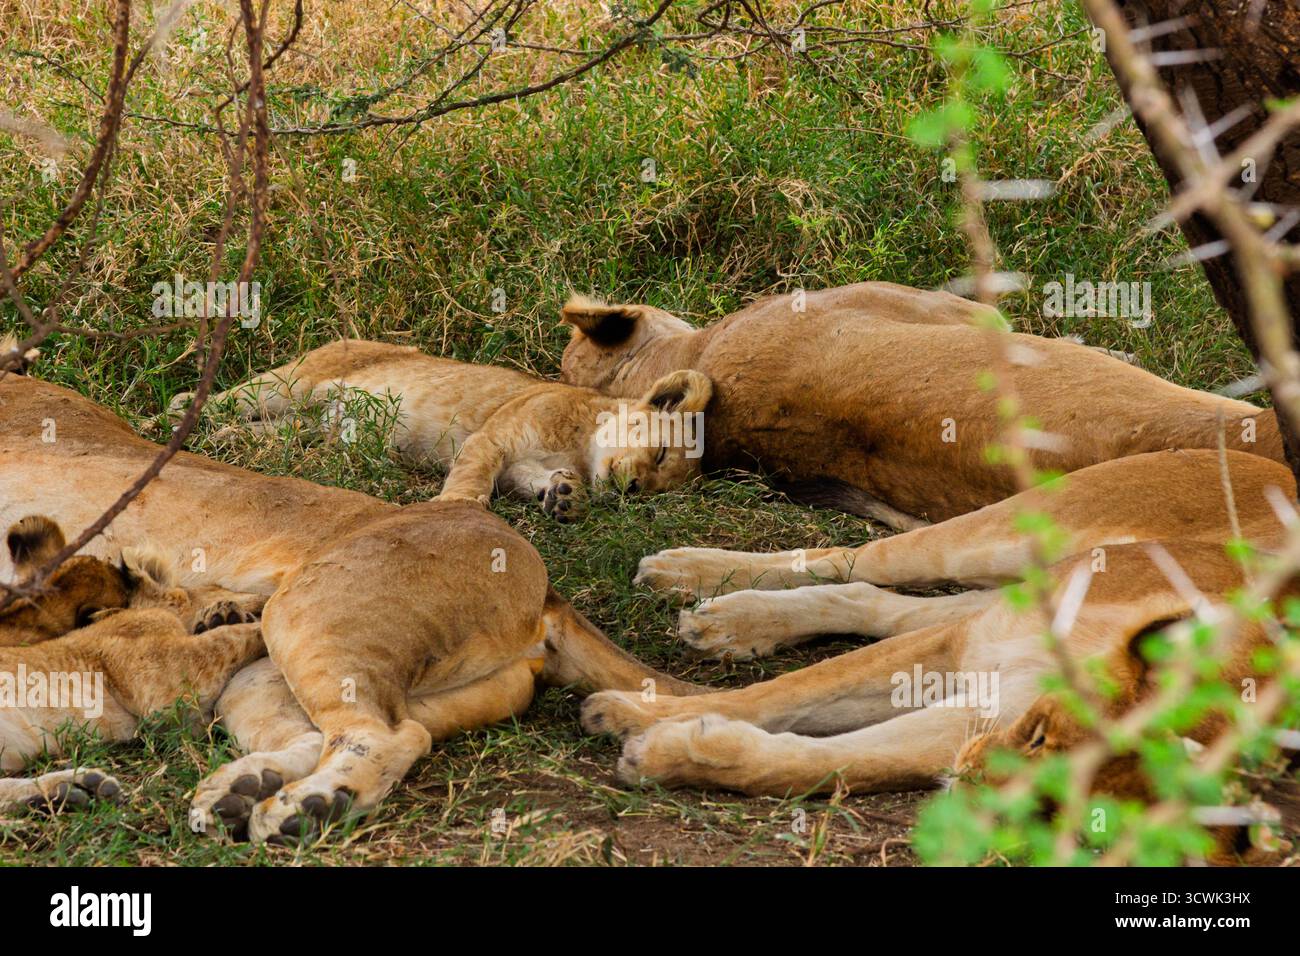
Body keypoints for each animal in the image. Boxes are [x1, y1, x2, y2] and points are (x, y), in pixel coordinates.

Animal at [0, 516, 266, 813]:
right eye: (221, 586)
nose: (264, 594)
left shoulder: (179, 723)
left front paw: (223, 617)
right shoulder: (162, 684)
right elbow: (232, 637)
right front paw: (245, 620)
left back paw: (76, 790)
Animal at [170, 339, 713, 521]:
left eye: (657, 490)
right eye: (661, 454)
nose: (634, 487)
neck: (582, 445)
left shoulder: (520, 467)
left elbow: (537, 482)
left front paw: (565, 498)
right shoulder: (493, 439)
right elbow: (473, 479)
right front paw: (456, 507)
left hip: (304, 425)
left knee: (275, 434)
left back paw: (222, 440)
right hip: (291, 385)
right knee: (220, 399)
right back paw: (175, 418)